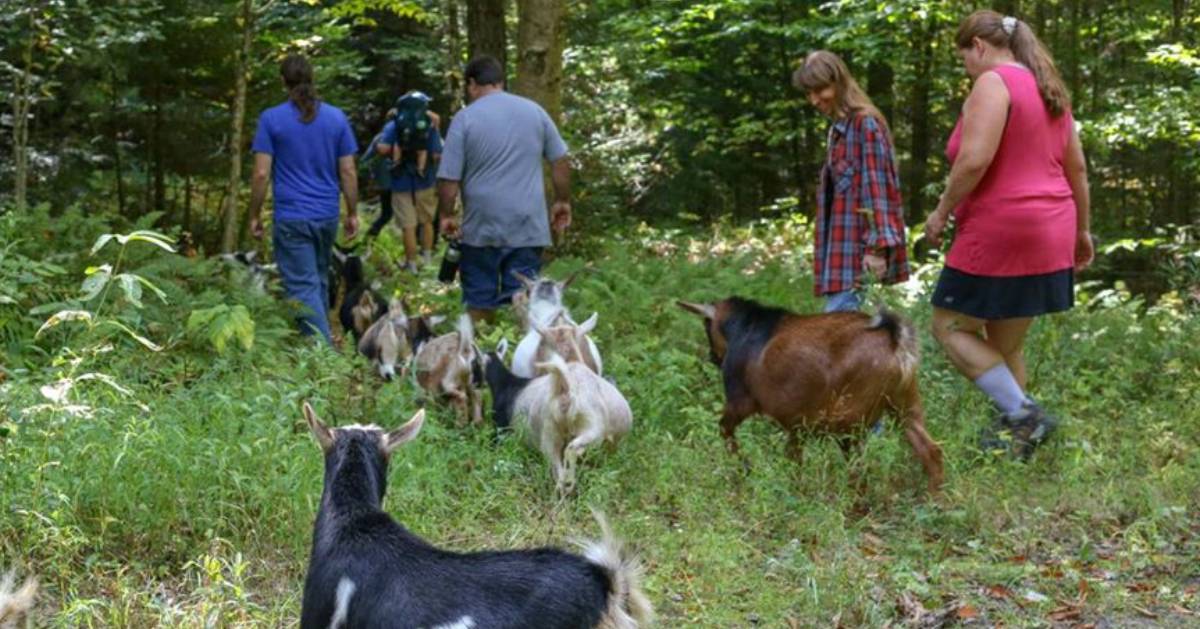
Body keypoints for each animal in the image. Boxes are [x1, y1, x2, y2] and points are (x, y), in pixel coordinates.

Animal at [681, 297, 940, 494]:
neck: (747, 327)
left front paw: (744, 469)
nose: (713, 357)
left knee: (858, 467)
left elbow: (725, 429)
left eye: (707, 326)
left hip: (850, 419)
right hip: (905, 404)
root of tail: (895, 342)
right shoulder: (797, 424)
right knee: (931, 450)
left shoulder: (742, 401)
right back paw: (934, 500)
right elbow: (794, 458)